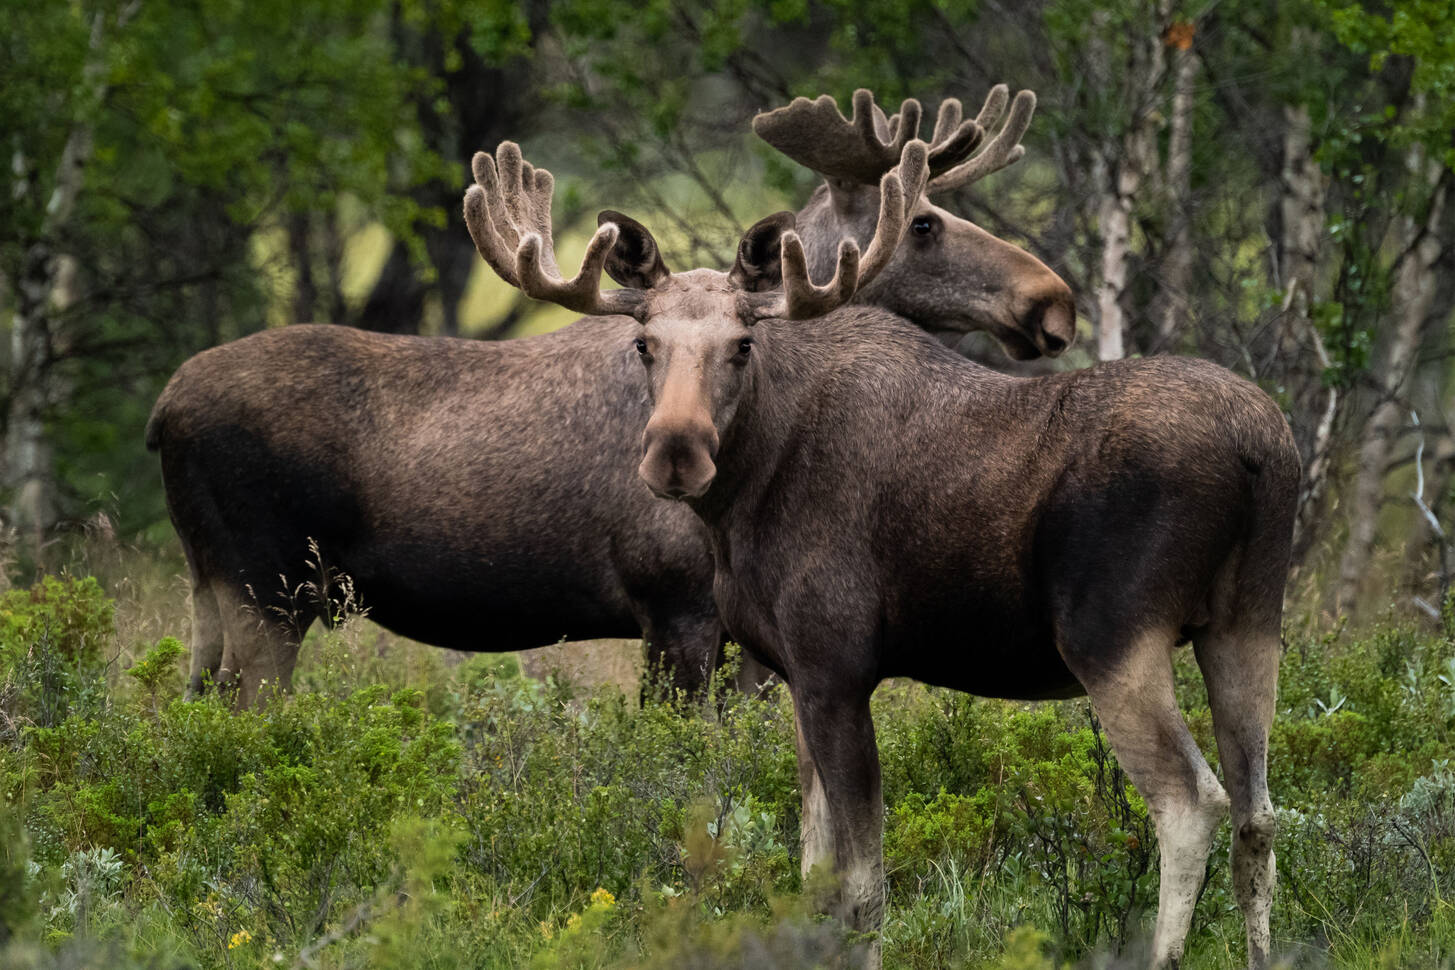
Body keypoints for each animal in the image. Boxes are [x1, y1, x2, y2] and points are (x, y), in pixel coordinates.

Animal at [147, 85, 1076, 706]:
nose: (1052, 302)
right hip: (263, 587)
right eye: (921, 223)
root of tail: (161, 413)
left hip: (209, 590)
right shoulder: (678, 608)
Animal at [465, 138, 1297, 970]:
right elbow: (814, 874)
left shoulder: (835, 666)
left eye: (741, 346)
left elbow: (862, 890)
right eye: (644, 345)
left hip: (1114, 638)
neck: (744, 494)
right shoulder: (793, 673)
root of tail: (1259, 449)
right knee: (1258, 813)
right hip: (1246, 624)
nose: (676, 452)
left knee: (1190, 804)